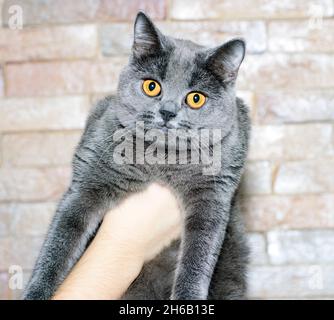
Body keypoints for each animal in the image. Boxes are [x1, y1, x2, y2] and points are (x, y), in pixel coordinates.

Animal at [22, 10, 250, 300]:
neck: (160, 159)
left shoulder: (213, 195)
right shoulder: (85, 184)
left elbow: (198, 258)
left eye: (195, 98)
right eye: (152, 87)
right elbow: (58, 244)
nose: (167, 112)